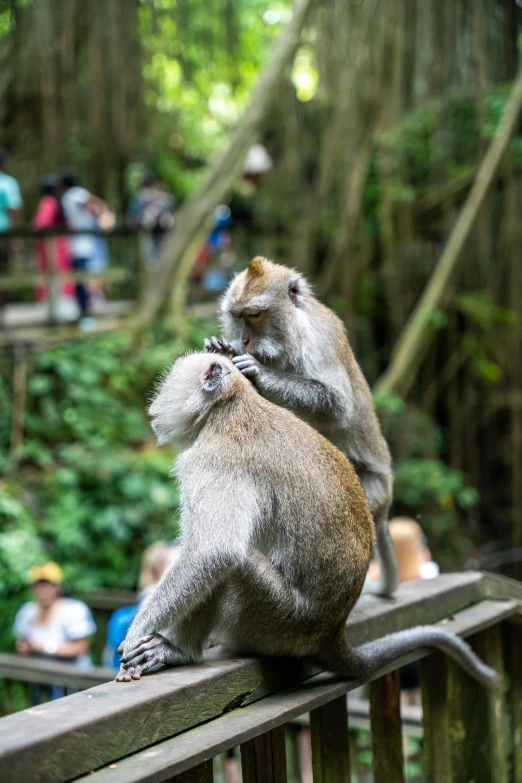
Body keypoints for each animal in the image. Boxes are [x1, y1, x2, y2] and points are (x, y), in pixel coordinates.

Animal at [115, 350, 500, 692]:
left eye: (168, 381)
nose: (155, 405)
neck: (229, 407)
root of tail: (331, 632)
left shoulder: (211, 461)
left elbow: (214, 551)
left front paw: (137, 632)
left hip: (275, 622)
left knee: (236, 565)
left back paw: (180, 651)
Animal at [202, 258, 394, 600]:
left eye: (255, 315)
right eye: (238, 317)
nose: (245, 340)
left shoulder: (320, 341)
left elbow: (335, 404)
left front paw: (259, 372)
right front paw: (221, 346)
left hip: (369, 497)